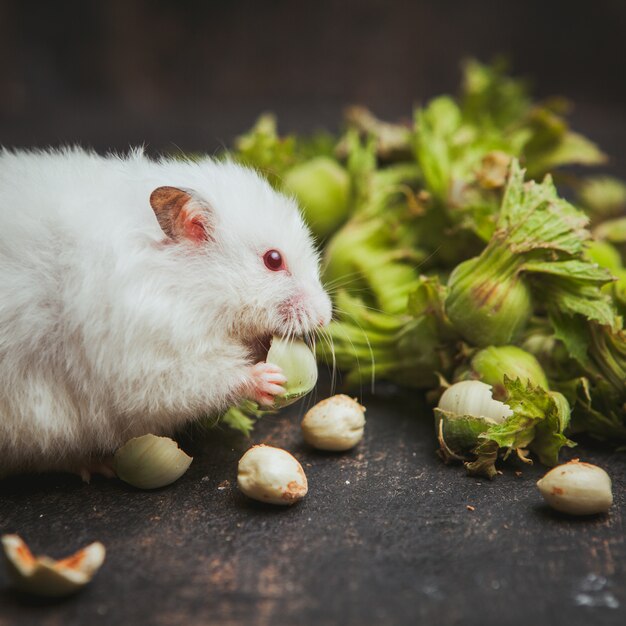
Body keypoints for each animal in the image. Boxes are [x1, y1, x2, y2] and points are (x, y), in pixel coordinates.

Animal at [0, 149, 332, 476]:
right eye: (273, 260)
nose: (325, 316)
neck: (183, 287)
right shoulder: (149, 359)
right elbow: (207, 379)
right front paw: (268, 379)